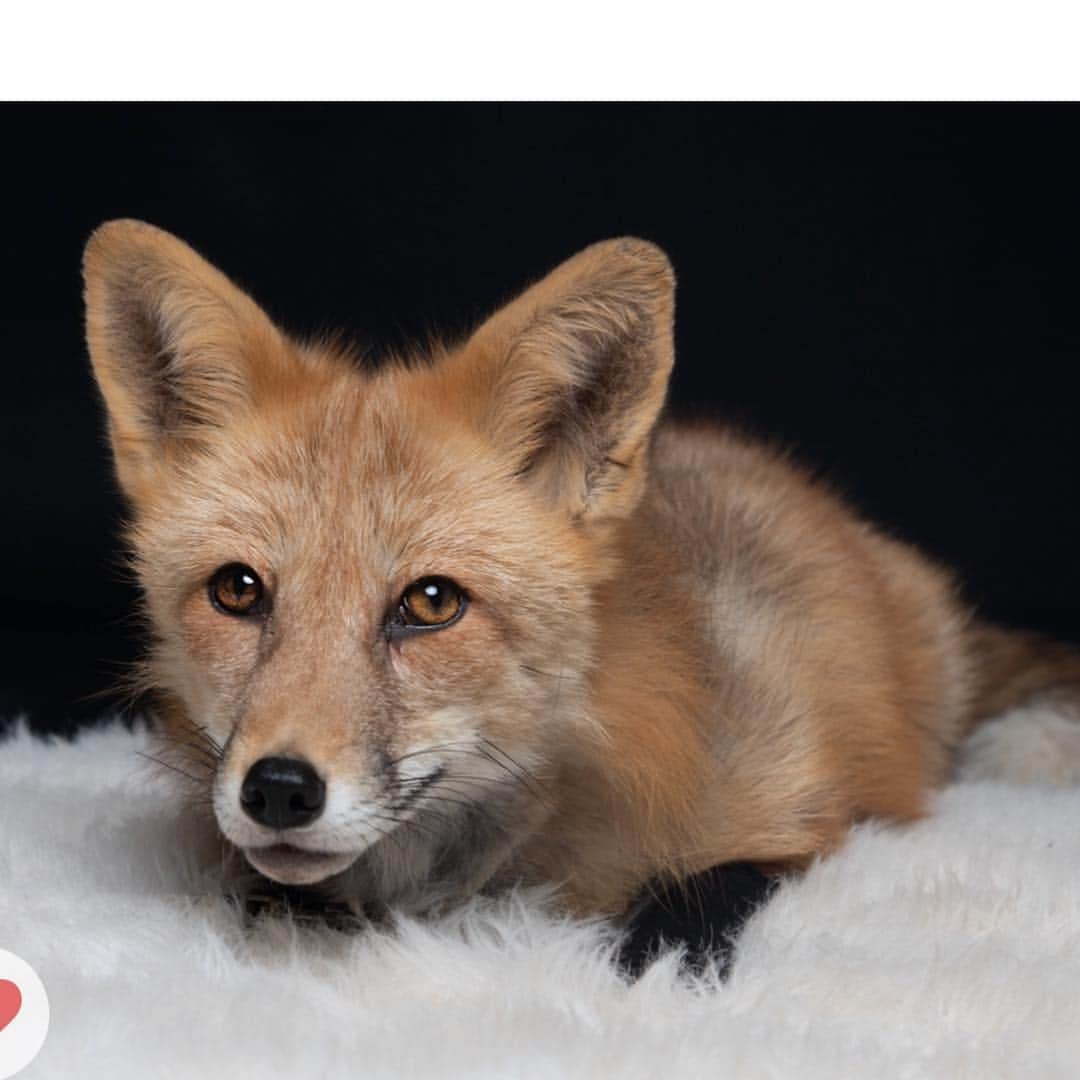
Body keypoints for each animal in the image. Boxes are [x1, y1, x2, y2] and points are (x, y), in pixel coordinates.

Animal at [83, 219, 1080, 923]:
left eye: (431, 603)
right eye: (238, 591)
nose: (280, 790)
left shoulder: (802, 821)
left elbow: (687, 900)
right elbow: (263, 897)